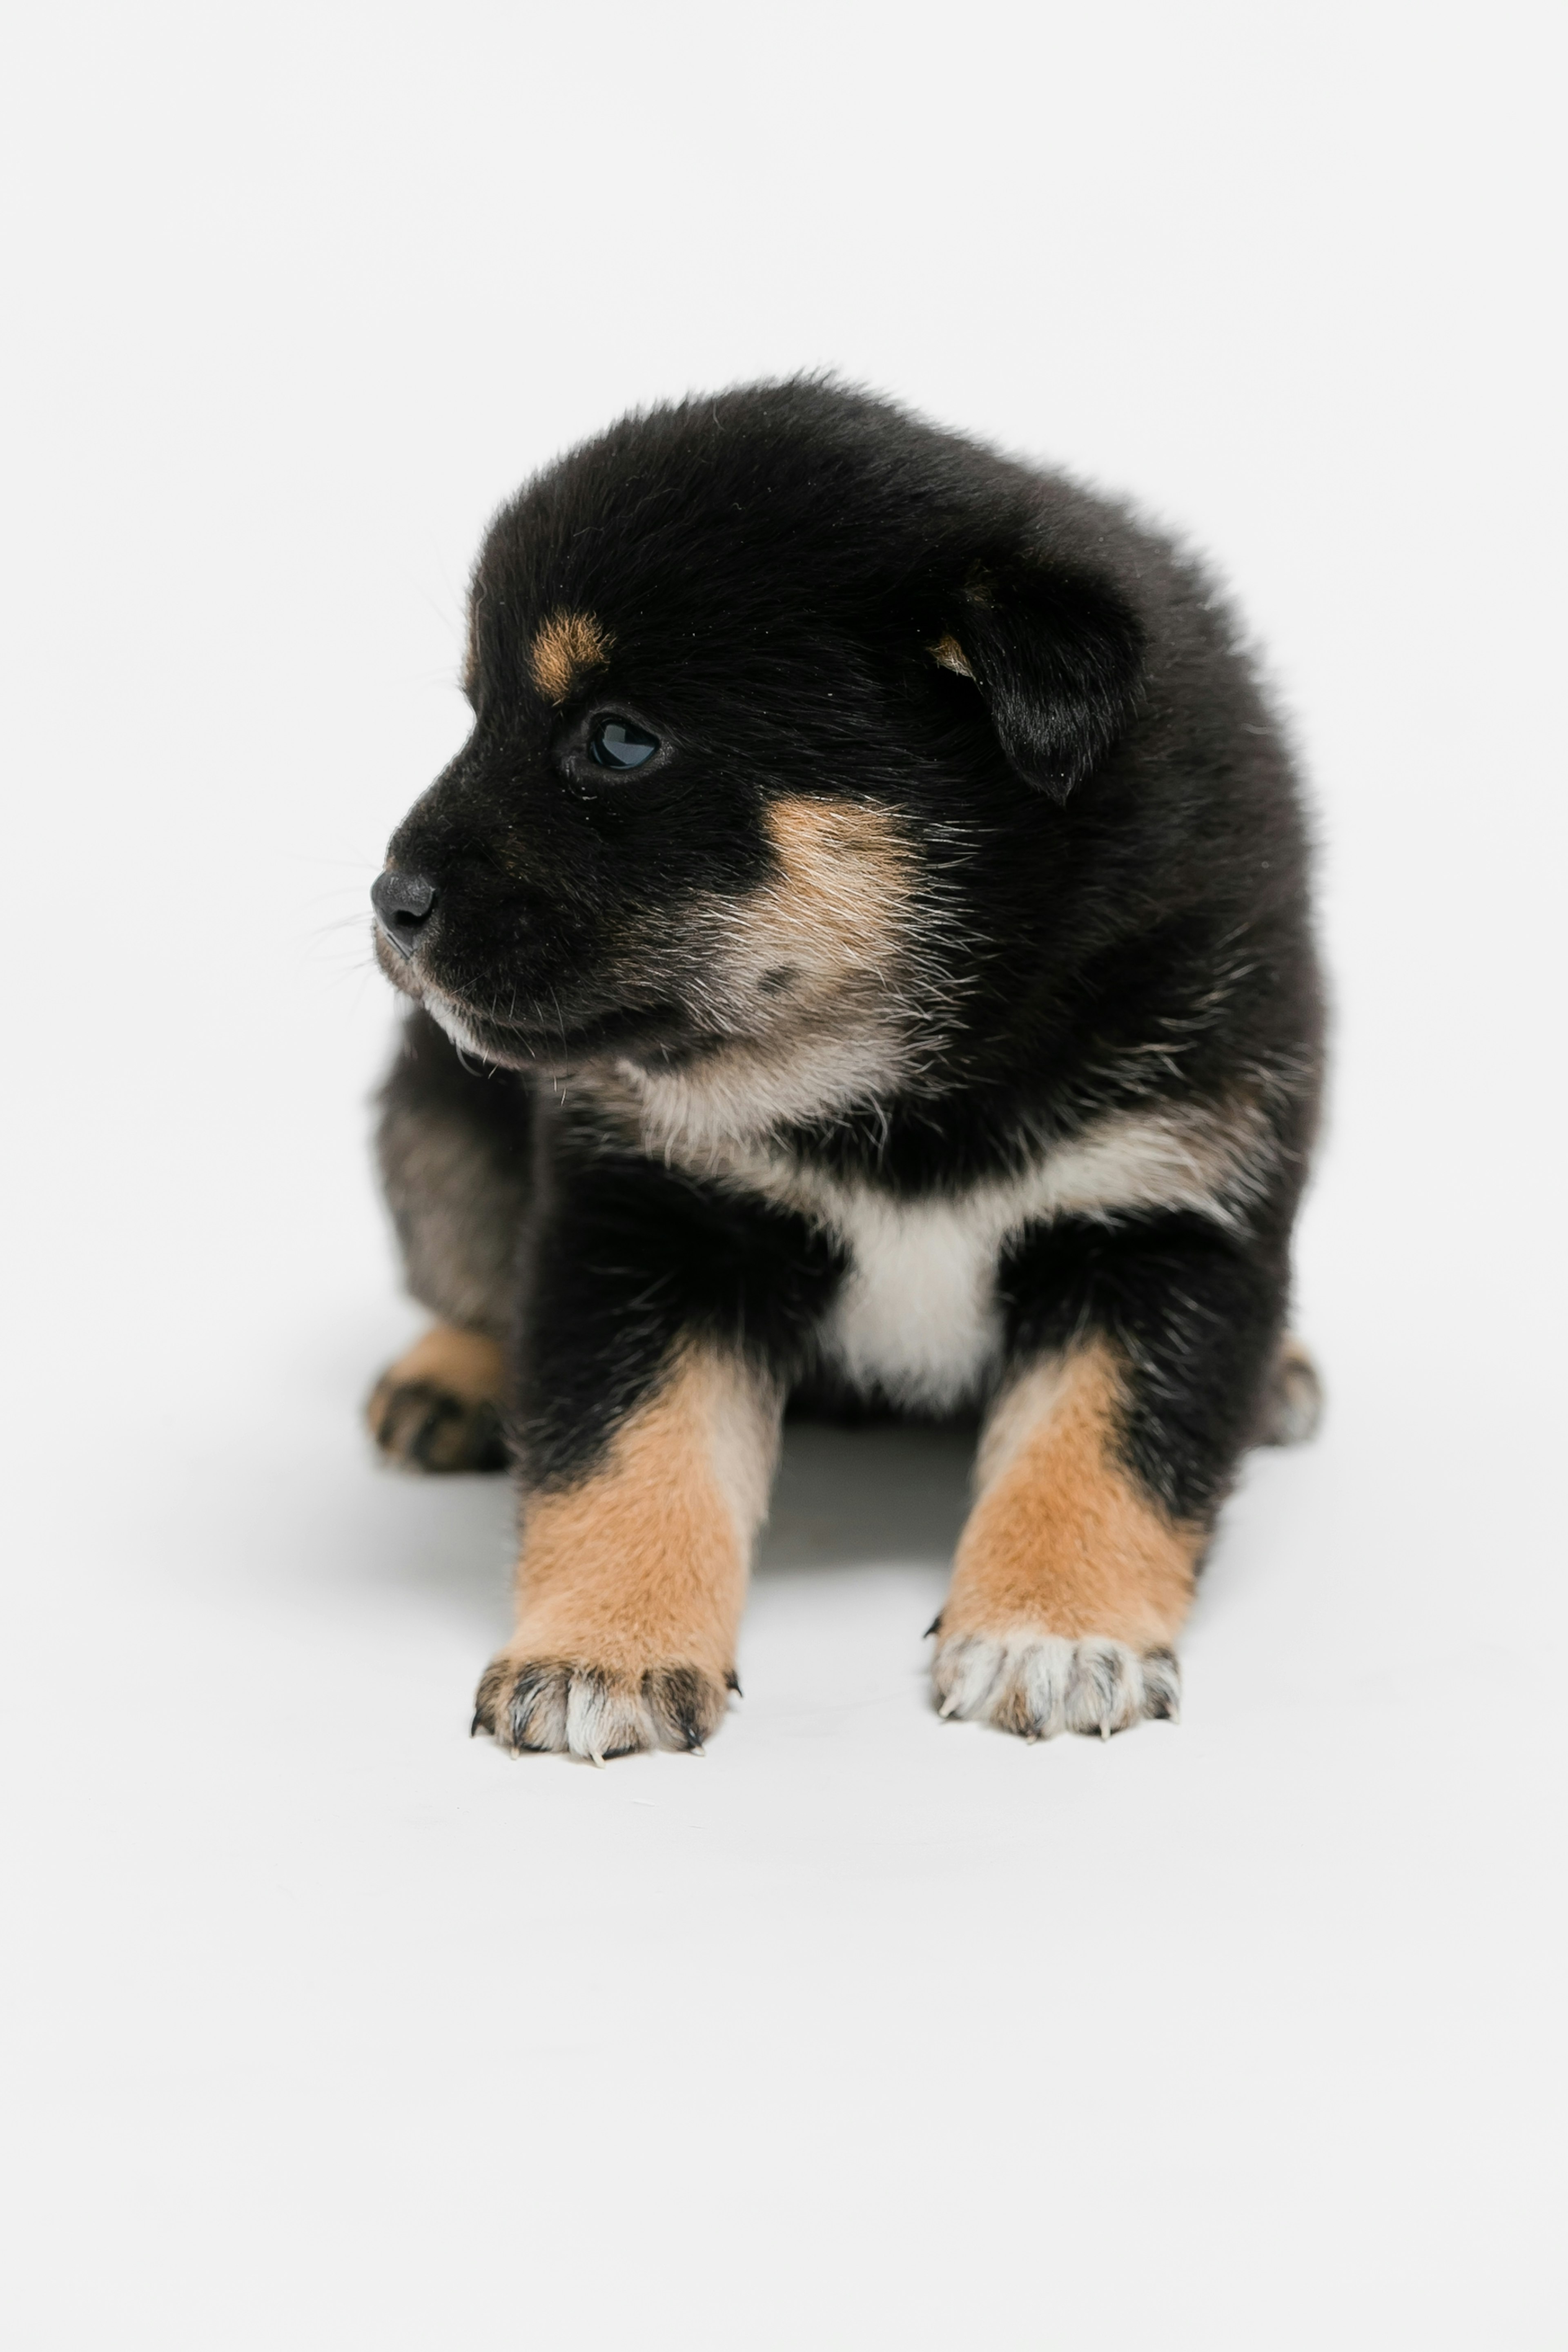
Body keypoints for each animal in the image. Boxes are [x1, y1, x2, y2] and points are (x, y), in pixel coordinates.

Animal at [364, 376, 1326, 1759]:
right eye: (476, 717)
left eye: (619, 740)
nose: (390, 900)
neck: (912, 1082)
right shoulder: (651, 1214)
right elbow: (625, 1449)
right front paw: (601, 1653)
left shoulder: (1165, 1210)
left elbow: (1100, 1447)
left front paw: (1049, 1633)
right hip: (433, 1121)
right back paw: (447, 1373)